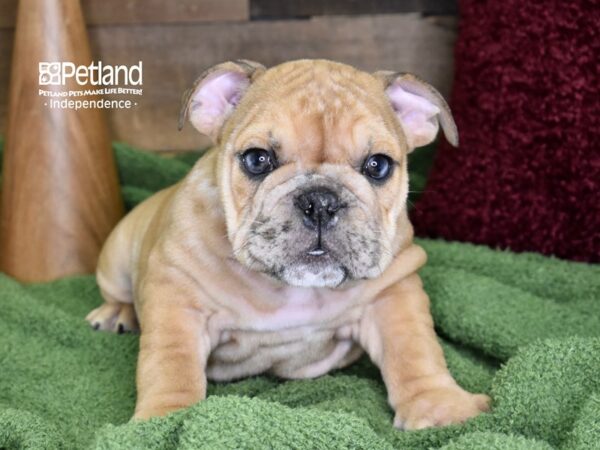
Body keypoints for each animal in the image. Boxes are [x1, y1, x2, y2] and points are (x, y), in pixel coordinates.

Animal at [86, 59, 490, 428]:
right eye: (257, 159)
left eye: (378, 165)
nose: (321, 202)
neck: (289, 290)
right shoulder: (177, 300)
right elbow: (171, 364)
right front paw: (163, 421)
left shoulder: (393, 293)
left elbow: (415, 351)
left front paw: (441, 407)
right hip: (117, 256)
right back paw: (116, 314)